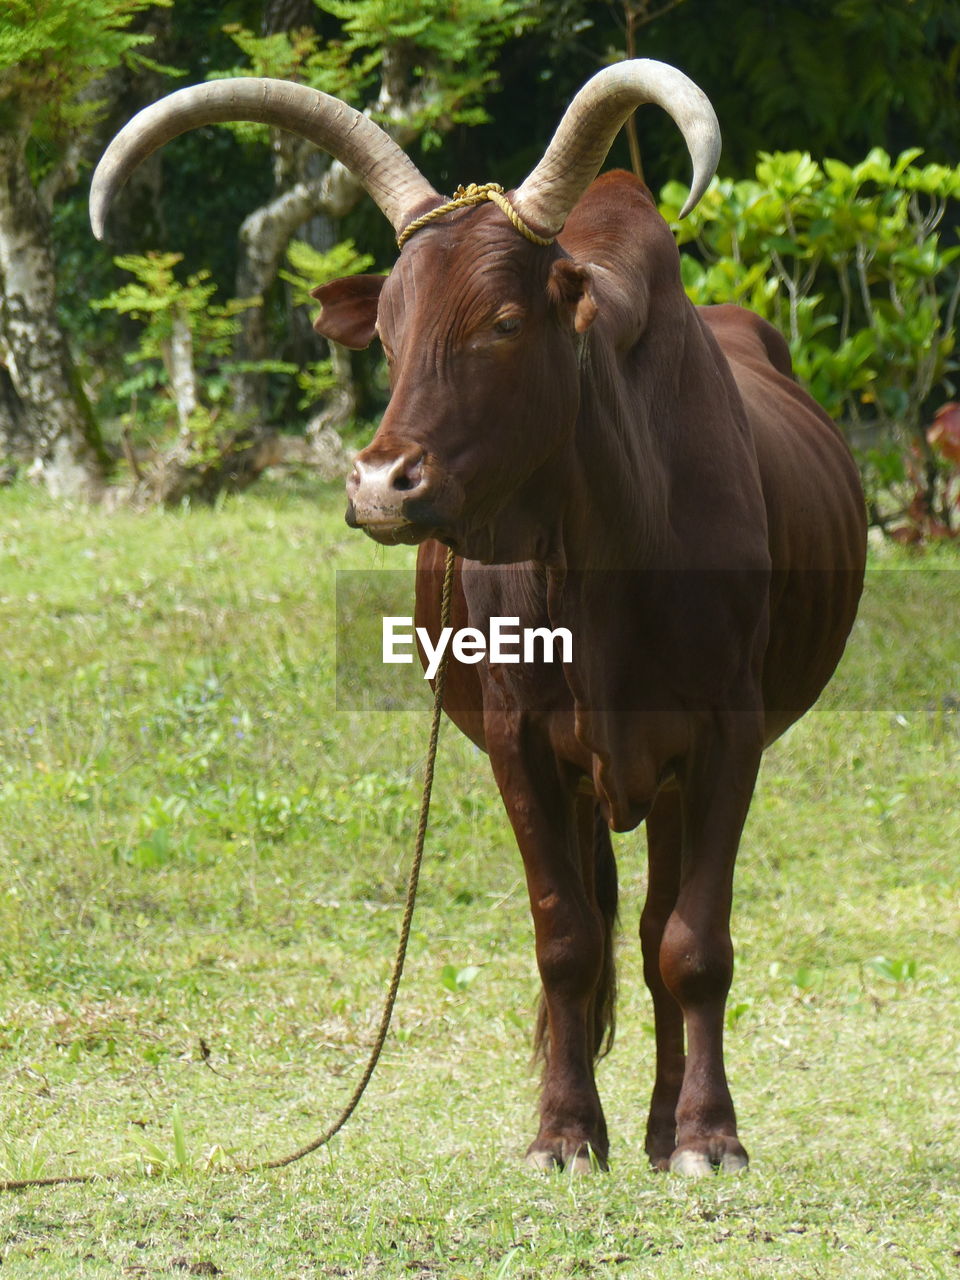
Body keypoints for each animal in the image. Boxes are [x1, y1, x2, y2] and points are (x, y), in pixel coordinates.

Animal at [92, 64, 870, 1172]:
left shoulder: (728, 734)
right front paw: (563, 1132)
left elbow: (694, 943)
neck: (606, 551)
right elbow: (566, 938)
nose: (382, 484)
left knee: (657, 928)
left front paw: (708, 1135)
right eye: (389, 330)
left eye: (503, 321)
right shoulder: (520, 737)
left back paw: (664, 1120)